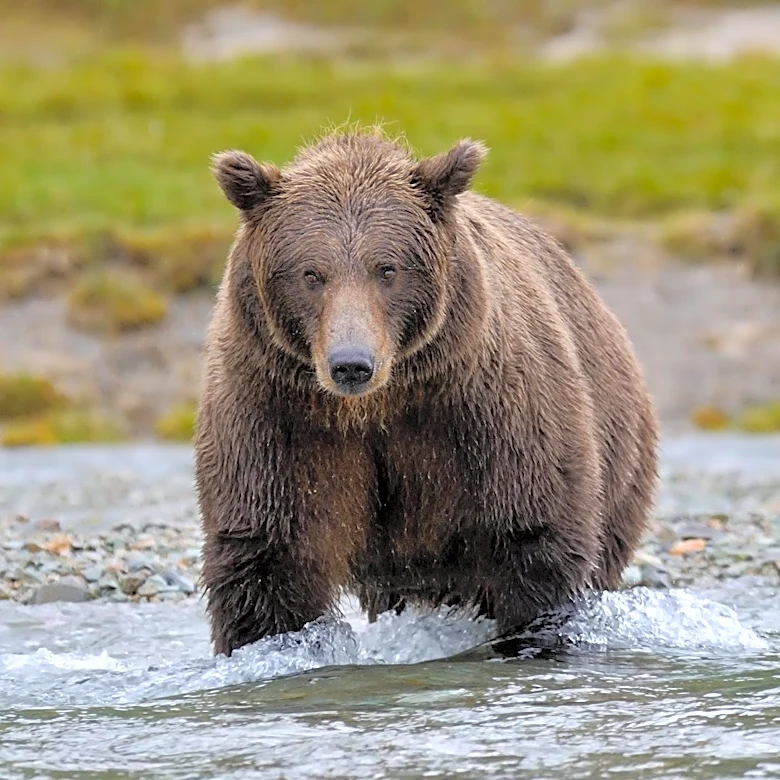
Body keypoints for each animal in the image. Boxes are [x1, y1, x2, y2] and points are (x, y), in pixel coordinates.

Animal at [195, 128, 659, 657]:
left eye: (387, 268)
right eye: (311, 273)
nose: (351, 363)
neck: (377, 404)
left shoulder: (485, 408)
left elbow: (532, 533)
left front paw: (529, 636)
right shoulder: (274, 413)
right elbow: (269, 555)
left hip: (620, 459)